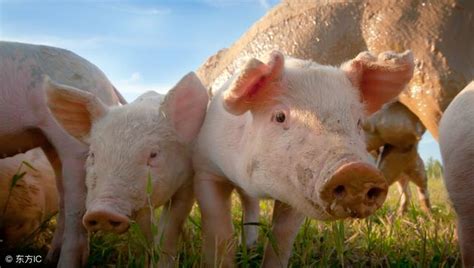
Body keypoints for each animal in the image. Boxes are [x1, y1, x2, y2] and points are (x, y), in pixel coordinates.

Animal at [0, 41, 125, 266]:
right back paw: (50, 258)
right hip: (52, 145)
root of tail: (107, 83)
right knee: (64, 200)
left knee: (77, 208)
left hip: (75, 145)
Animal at [46, 71, 209, 266]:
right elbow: (146, 230)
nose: (102, 212)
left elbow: (170, 226)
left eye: (153, 154)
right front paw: (146, 257)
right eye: (93, 154)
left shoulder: (187, 183)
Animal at [193, 49, 414, 266]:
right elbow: (220, 231)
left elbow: (282, 237)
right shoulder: (206, 168)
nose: (356, 171)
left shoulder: (297, 193)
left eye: (358, 122)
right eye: (279, 116)